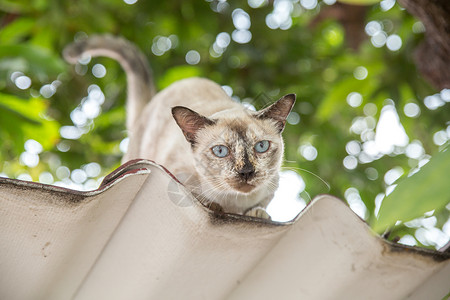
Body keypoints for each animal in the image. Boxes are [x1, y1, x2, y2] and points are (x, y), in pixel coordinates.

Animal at [64, 35, 296, 219]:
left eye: (261, 147)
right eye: (221, 151)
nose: (246, 172)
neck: (233, 202)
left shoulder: (271, 187)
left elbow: (260, 206)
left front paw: (258, 213)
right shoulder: (176, 174)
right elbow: (201, 198)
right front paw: (214, 205)